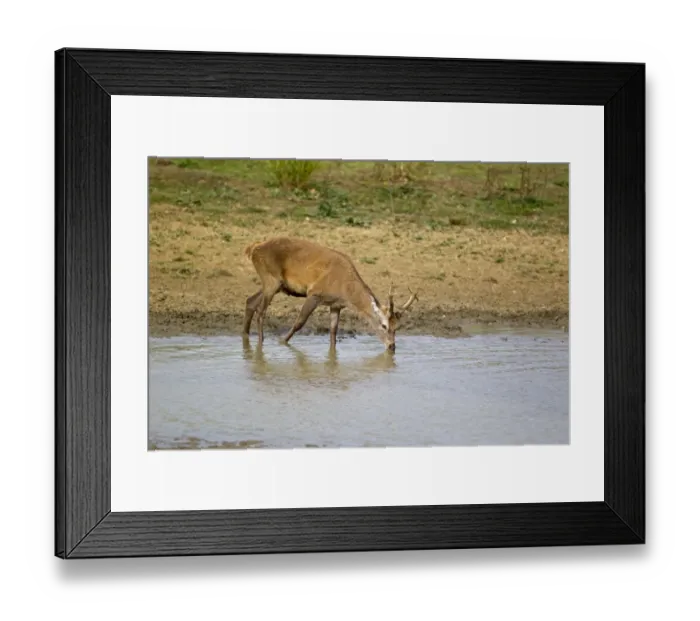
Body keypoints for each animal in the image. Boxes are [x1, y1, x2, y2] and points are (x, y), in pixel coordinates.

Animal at [242, 237, 419, 352]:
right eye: (384, 325)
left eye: (397, 327)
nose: (392, 346)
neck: (344, 290)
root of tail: (252, 249)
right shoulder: (314, 293)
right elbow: (299, 322)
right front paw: (282, 342)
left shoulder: (336, 305)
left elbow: (333, 331)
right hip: (271, 279)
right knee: (261, 311)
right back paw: (261, 342)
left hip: (276, 284)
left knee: (250, 301)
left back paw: (245, 336)